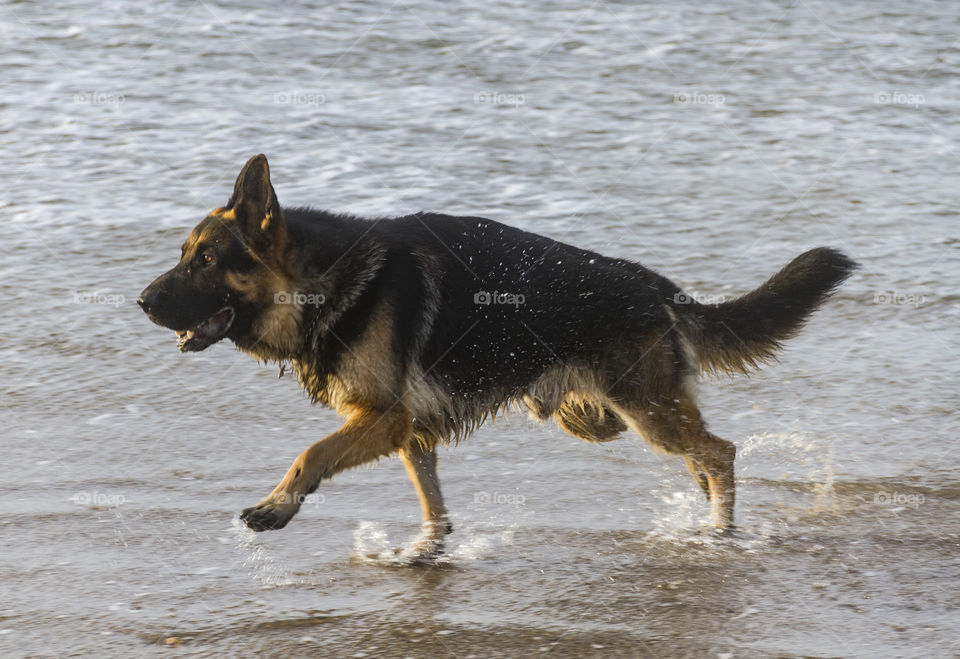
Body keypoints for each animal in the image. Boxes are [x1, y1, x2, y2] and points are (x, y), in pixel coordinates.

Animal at [137, 155, 856, 556]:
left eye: (205, 261)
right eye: (184, 255)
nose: (141, 301)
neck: (321, 279)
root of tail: (658, 286)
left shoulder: (382, 418)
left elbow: (310, 453)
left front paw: (277, 506)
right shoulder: (408, 429)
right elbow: (431, 502)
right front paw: (425, 551)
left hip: (640, 409)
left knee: (721, 452)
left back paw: (720, 533)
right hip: (605, 414)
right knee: (702, 454)